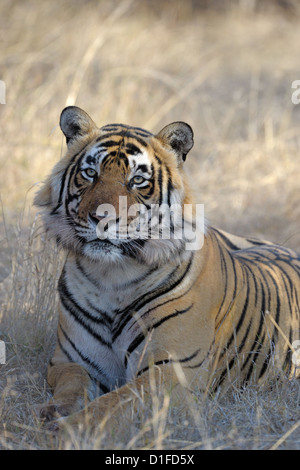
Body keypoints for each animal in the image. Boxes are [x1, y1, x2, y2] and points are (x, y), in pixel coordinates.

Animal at [35, 106, 300, 430]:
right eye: (90, 173)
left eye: (137, 180)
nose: (101, 218)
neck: (111, 278)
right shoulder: (70, 361)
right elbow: (72, 386)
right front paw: (53, 412)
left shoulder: (172, 372)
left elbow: (111, 405)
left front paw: (69, 429)